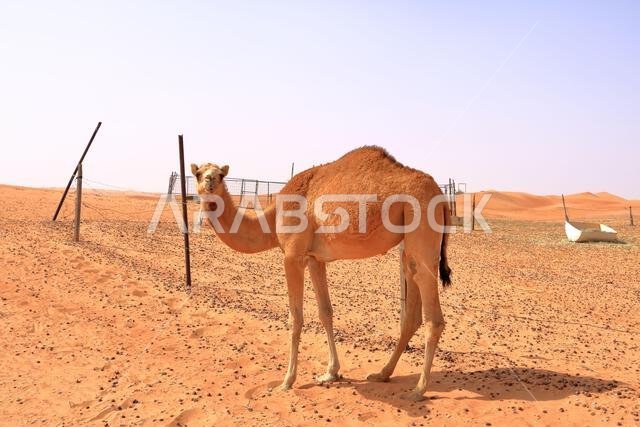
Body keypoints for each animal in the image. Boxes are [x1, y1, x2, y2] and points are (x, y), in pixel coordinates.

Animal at [191, 146, 451, 401]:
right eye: (198, 172)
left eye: (220, 174)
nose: (210, 181)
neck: (272, 218)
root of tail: (441, 196)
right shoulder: (315, 259)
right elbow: (325, 312)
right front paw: (330, 373)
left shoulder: (292, 256)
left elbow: (295, 318)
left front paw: (286, 381)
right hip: (409, 248)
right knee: (412, 308)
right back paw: (382, 373)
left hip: (422, 229)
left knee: (433, 317)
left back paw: (418, 389)